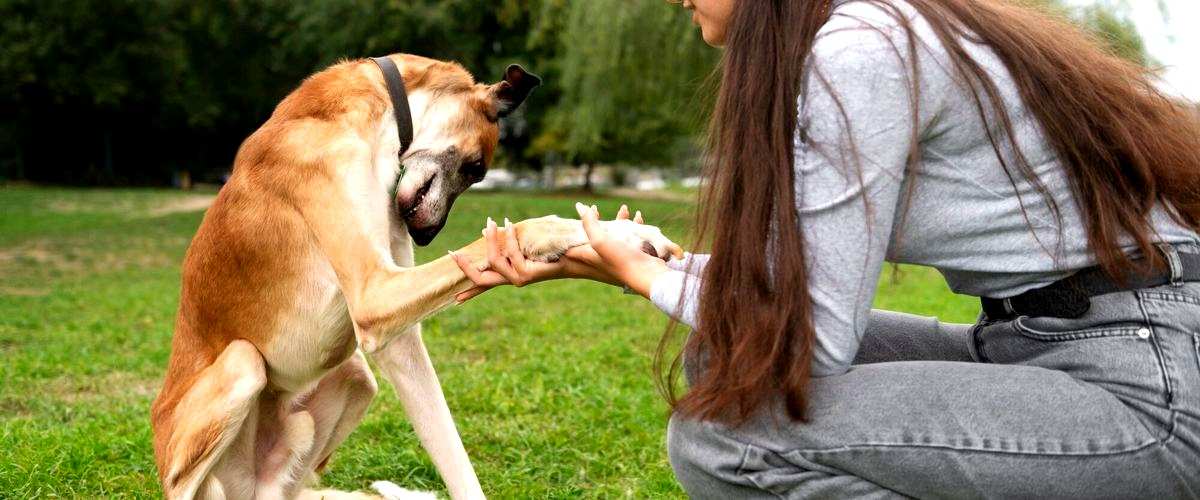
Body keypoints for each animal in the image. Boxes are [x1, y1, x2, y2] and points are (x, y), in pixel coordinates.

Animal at [147, 52, 686, 496]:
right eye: (476, 167)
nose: (427, 235)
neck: (376, 112)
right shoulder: (375, 295)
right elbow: (525, 227)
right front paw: (619, 234)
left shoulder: (398, 339)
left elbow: (454, 456)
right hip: (243, 367)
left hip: (355, 378)